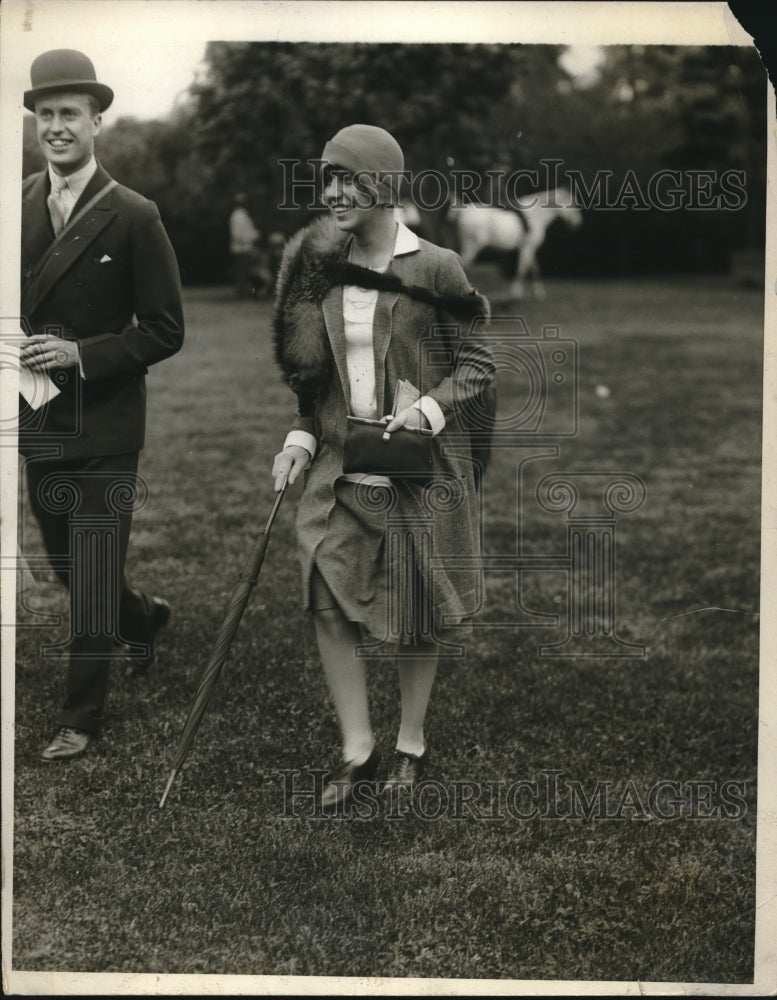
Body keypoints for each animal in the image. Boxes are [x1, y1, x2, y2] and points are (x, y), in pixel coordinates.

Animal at [448, 187, 584, 296]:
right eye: (573, 205)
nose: (578, 224)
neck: (536, 214)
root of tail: (460, 211)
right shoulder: (527, 247)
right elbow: (522, 268)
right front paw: (516, 292)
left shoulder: (529, 247)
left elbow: (534, 267)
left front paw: (538, 292)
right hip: (472, 245)